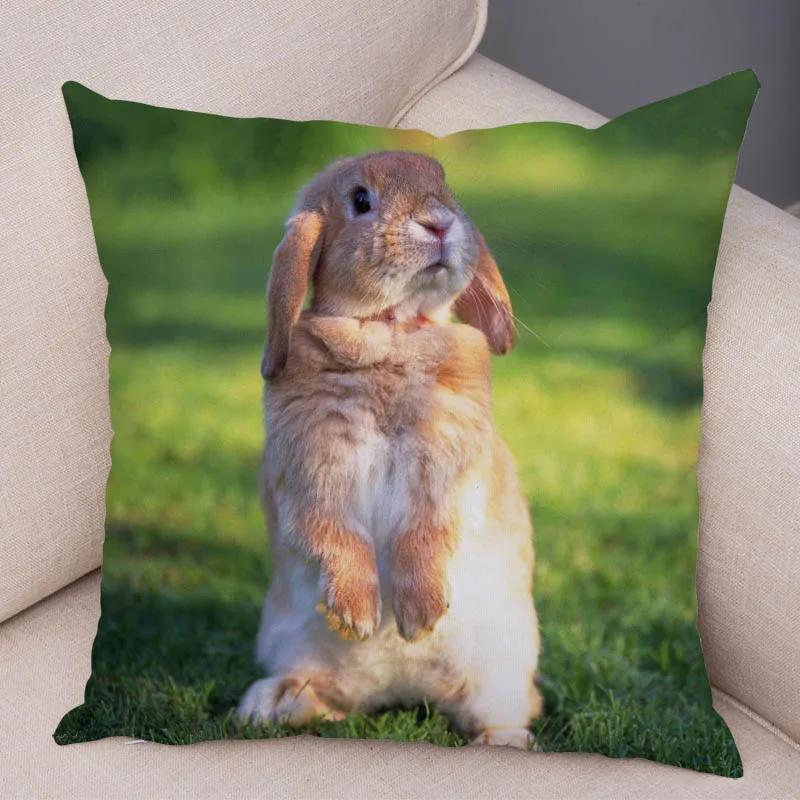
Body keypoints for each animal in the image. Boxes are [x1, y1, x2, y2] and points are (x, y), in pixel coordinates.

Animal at [238, 151, 541, 748]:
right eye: (360, 200)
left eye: (444, 184)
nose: (439, 223)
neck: (391, 330)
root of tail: (398, 690)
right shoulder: (313, 472)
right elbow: (335, 534)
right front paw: (357, 616)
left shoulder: (447, 470)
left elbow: (426, 532)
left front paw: (420, 617)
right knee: (327, 698)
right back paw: (272, 703)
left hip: (500, 675)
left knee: (503, 710)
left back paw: (505, 742)